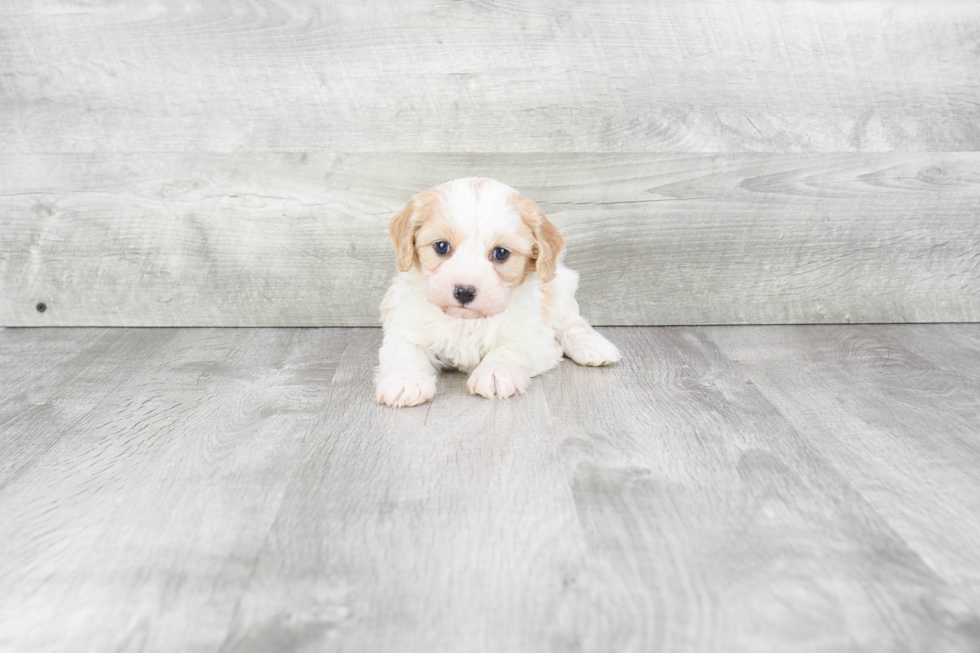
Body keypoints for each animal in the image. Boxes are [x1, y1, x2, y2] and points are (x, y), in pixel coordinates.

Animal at [376, 176, 620, 404]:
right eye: (441, 246)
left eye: (501, 253)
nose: (464, 291)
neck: (466, 321)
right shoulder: (407, 327)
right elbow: (404, 351)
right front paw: (405, 382)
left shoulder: (536, 339)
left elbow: (510, 350)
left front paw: (494, 374)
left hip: (560, 288)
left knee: (571, 323)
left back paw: (593, 347)